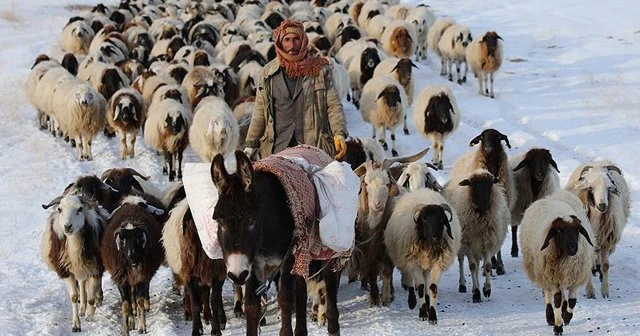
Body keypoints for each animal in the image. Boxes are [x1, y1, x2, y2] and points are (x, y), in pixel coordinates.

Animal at [40, 194, 104, 334]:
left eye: (80, 209)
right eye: (60, 209)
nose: (67, 227)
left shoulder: (94, 268)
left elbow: (91, 297)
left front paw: (90, 315)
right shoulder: (66, 271)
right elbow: (74, 297)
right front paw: (76, 325)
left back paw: (95, 301)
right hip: (79, 271)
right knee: (82, 285)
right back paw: (82, 308)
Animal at [382, 189, 458, 322]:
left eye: (442, 218)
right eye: (424, 219)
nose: (434, 236)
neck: (429, 245)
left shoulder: (437, 264)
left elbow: (432, 288)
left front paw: (432, 315)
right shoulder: (414, 263)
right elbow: (421, 287)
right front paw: (422, 313)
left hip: (425, 267)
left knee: (426, 281)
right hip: (406, 260)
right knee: (409, 279)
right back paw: (412, 301)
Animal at [448, 168, 512, 302]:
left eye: (490, 184)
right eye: (474, 185)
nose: (485, 204)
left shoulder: (487, 242)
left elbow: (487, 265)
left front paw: (486, 289)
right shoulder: (468, 243)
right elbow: (472, 266)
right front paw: (476, 293)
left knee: (477, 265)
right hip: (462, 244)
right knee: (462, 261)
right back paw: (462, 284)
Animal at [520, 190, 596, 334]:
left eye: (578, 230)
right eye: (559, 231)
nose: (573, 248)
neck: (565, 261)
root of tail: (550, 197)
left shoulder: (574, 277)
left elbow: (572, 301)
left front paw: (566, 317)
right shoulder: (552, 277)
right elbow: (556, 299)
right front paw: (558, 325)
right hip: (543, 273)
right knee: (548, 293)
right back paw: (550, 316)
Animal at [564, 161, 632, 298]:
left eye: (609, 187)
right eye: (590, 187)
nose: (602, 205)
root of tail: (600, 161)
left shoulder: (606, 240)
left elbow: (606, 266)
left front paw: (605, 291)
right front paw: (590, 292)